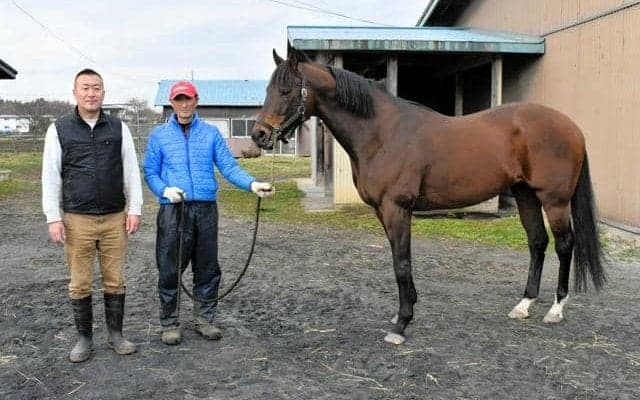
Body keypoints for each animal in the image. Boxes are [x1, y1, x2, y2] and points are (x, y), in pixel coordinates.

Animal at [251, 49, 605, 345]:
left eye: (286, 90)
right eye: (268, 90)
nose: (259, 135)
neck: (382, 133)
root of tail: (573, 127)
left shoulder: (397, 208)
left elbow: (402, 262)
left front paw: (401, 325)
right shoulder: (383, 211)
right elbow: (398, 260)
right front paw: (403, 312)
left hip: (554, 200)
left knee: (564, 244)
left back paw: (556, 309)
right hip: (525, 195)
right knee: (537, 242)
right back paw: (524, 305)